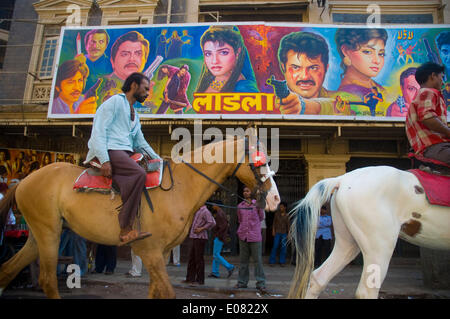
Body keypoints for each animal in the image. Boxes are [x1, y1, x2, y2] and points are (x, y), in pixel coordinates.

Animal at [0, 138, 280, 300]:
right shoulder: (150, 250)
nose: (275, 199)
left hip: (39, 235)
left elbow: (155, 292)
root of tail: (24, 181)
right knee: (47, 280)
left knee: (9, 270)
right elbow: (166, 293)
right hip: (49, 233)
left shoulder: (159, 254)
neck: (180, 186)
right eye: (260, 162)